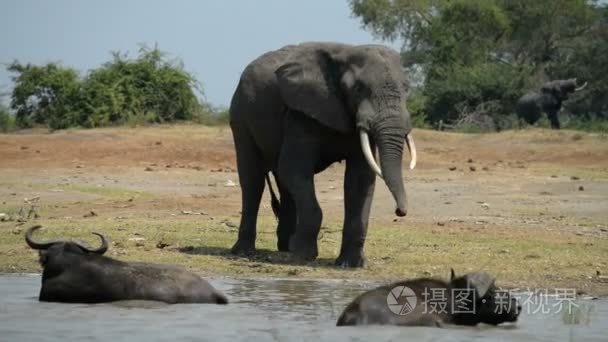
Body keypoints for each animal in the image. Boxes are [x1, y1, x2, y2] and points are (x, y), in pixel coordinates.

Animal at [228, 42, 418, 268]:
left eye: (407, 89)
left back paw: (285, 247)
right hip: (240, 114)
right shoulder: (301, 113)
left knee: (284, 184)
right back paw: (244, 252)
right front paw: (304, 256)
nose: (400, 212)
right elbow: (294, 168)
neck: (345, 53)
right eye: (358, 89)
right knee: (253, 181)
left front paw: (351, 264)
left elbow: (360, 179)